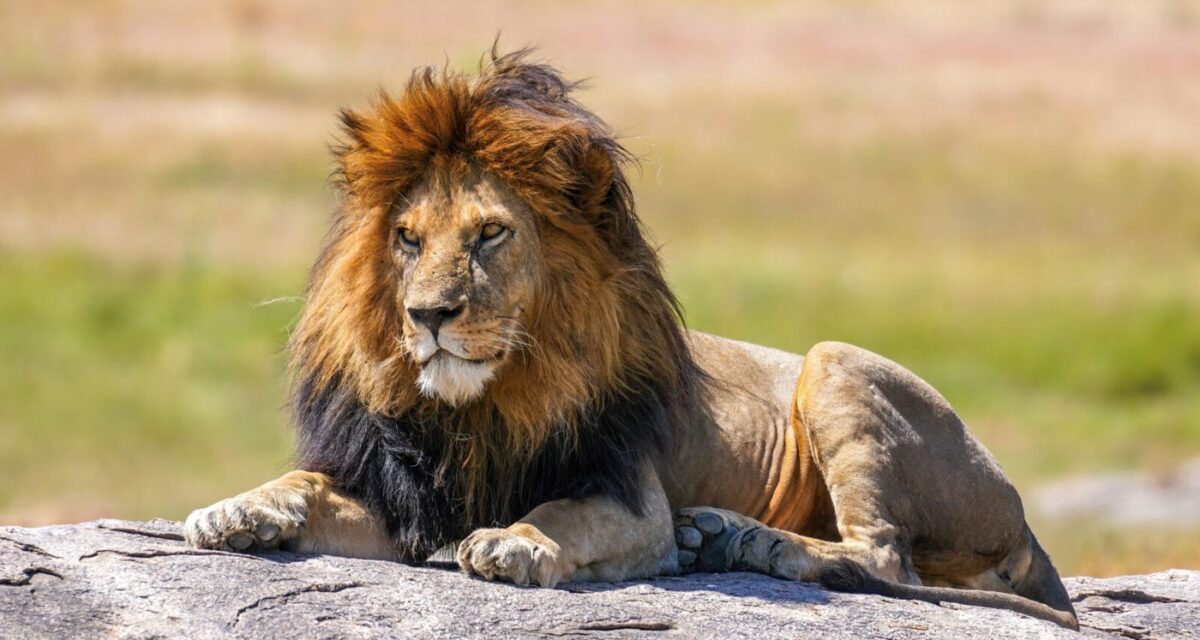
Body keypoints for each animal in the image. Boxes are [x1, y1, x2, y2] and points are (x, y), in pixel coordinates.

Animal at [184, 49, 1078, 629]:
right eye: (406, 239)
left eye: (489, 235)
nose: (428, 315)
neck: (484, 407)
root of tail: (1022, 515)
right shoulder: (404, 500)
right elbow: (304, 483)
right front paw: (238, 510)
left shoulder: (630, 496)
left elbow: (561, 514)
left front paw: (516, 541)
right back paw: (719, 537)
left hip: (835, 364)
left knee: (883, 557)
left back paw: (740, 539)